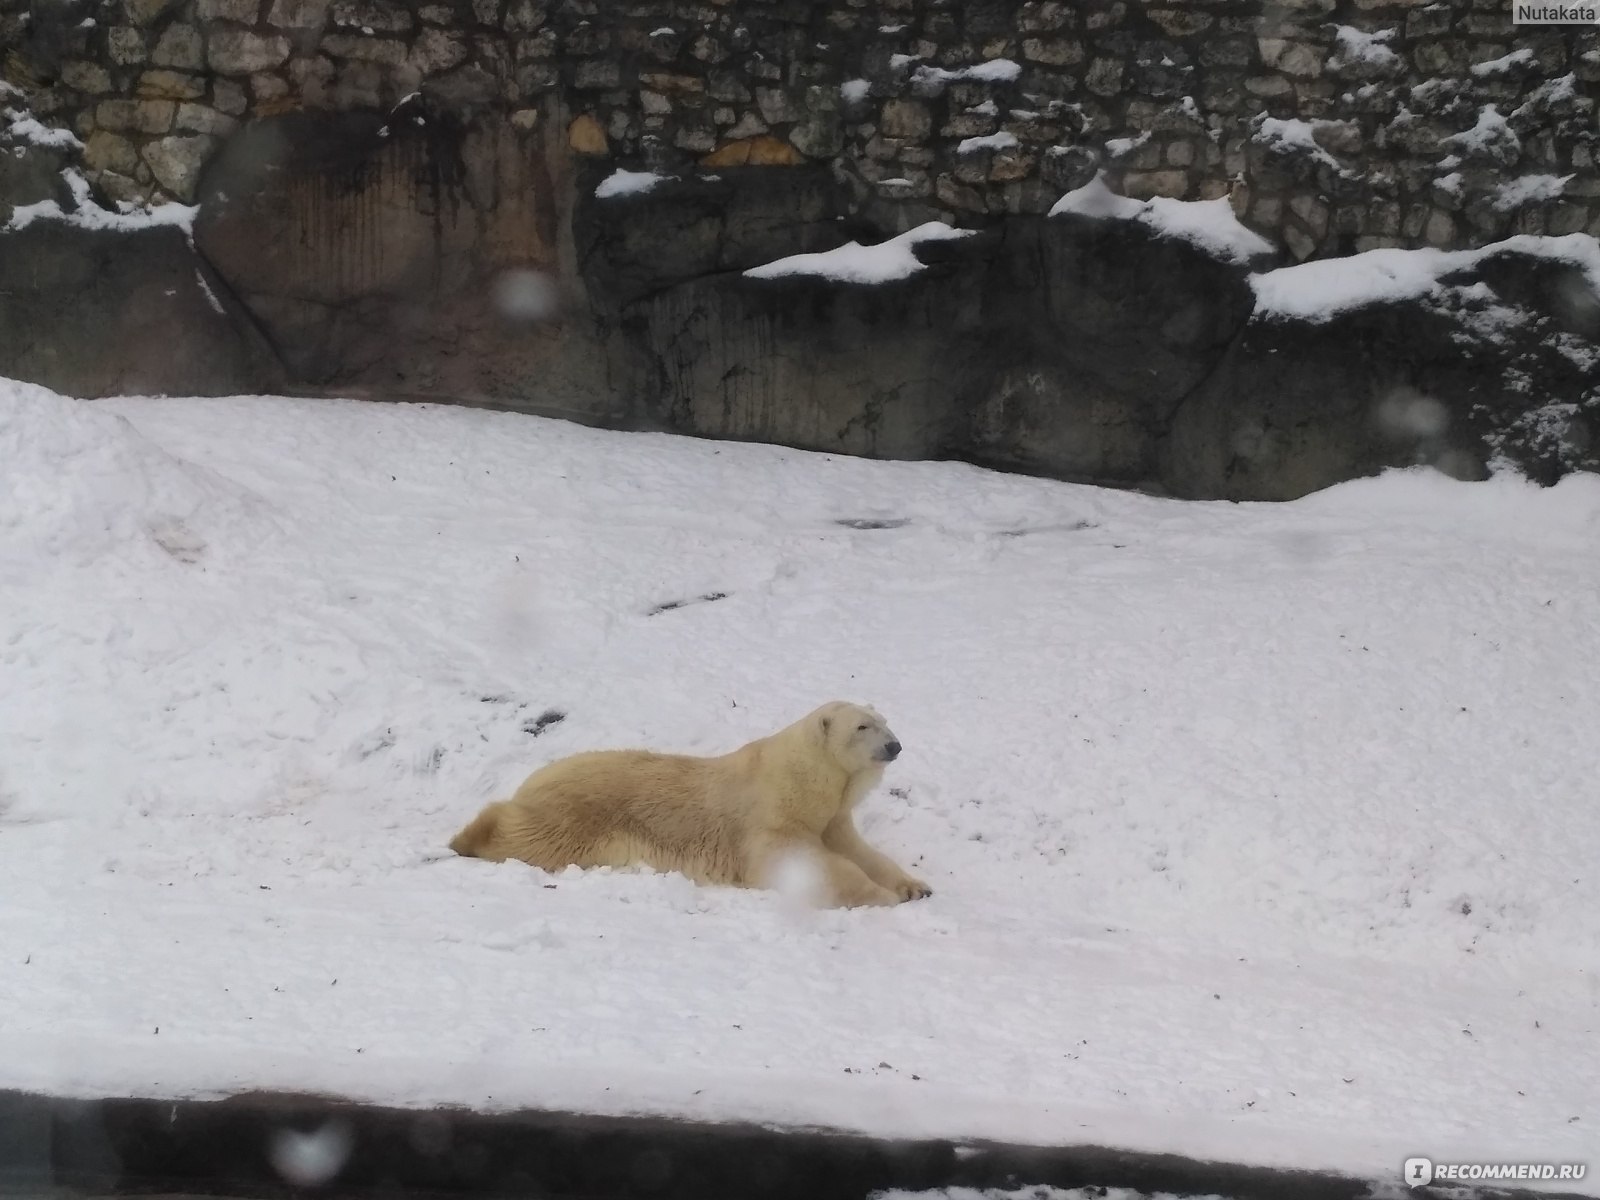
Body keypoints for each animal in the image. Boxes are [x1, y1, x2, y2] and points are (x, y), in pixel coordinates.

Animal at [444, 700, 934, 908]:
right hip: (575, 819)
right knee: (529, 837)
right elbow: (806, 865)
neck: (803, 779)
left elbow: (858, 851)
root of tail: (534, 779)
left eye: (884, 720)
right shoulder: (771, 819)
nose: (894, 746)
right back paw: (468, 837)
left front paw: (913, 886)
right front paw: (881, 895)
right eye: (862, 726)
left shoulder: (831, 818)